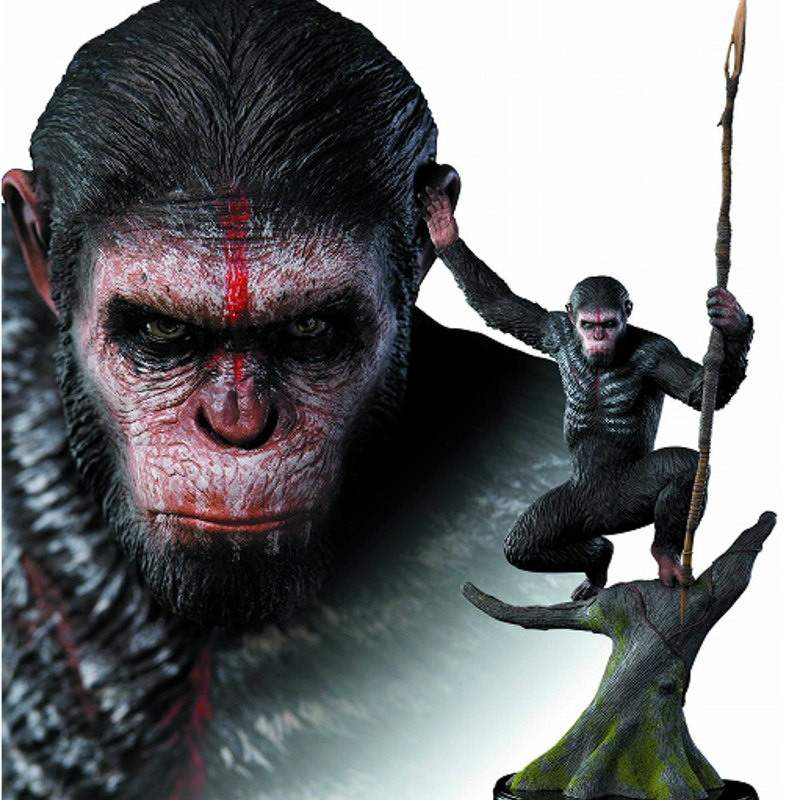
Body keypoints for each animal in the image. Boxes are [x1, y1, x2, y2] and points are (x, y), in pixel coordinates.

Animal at [420, 187, 752, 600]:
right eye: (587, 323)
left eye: (608, 323)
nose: (597, 336)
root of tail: (604, 518)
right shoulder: (552, 329)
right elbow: (498, 306)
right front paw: (444, 230)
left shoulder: (659, 353)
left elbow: (698, 392)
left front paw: (733, 321)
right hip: (571, 511)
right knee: (525, 543)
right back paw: (600, 559)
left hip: (627, 499)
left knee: (684, 466)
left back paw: (664, 555)